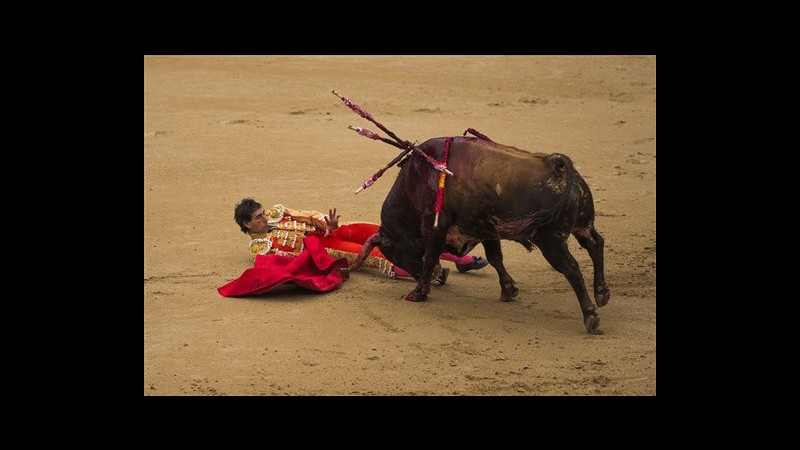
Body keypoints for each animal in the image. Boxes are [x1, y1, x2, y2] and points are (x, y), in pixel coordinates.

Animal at [346, 137, 608, 334]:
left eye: (396, 254)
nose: (439, 277)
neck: (415, 182)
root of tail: (558, 167)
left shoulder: (434, 226)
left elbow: (429, 256)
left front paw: (418, 293)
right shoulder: (487, 228)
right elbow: (495, 257)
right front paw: (508, 290)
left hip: (550, 240)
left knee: (572, 267)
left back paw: (591, 315)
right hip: (583, 224)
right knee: (595, 244)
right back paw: (602, 293)